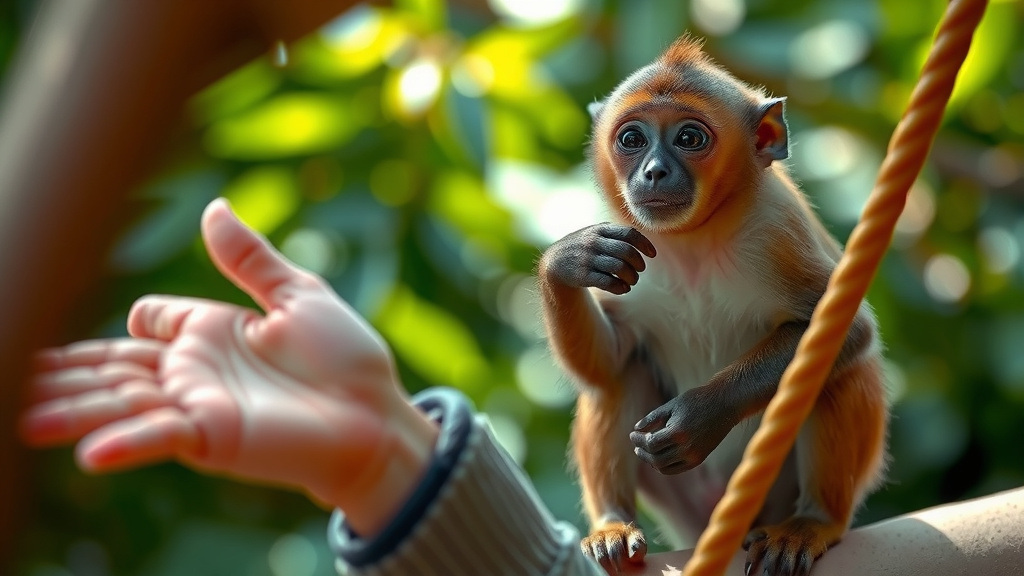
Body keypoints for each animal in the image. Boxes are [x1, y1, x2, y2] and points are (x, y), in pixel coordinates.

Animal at [537, 36, 888, 576]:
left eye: (689, 138)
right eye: (632, 140)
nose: (653, 171)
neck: (694, 240)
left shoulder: (777, 231)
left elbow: (848, 333)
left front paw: (698, 418)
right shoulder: (631, 246)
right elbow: (608, 359)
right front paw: (569, 259)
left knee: (837, 376)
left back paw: (813, 523)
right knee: (621, 374)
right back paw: (613, 527)